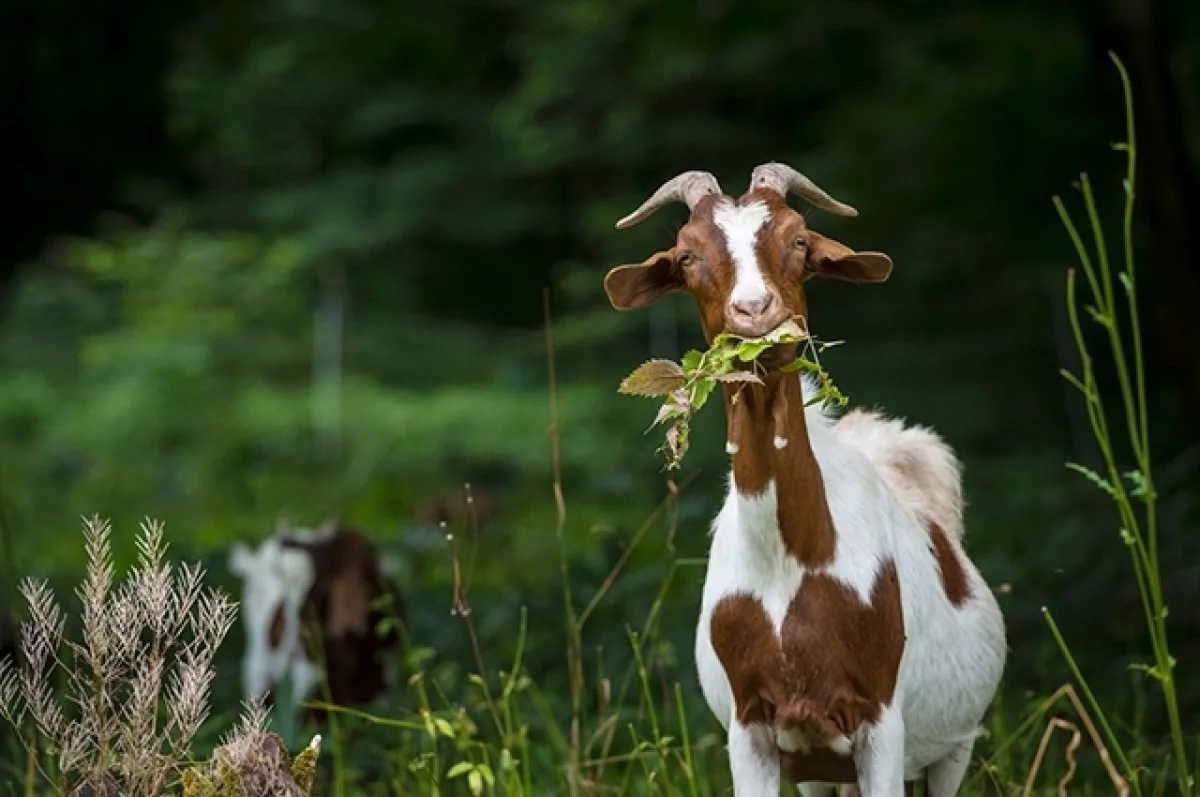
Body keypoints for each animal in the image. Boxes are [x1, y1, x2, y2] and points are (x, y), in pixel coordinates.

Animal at [604, 164, 1008, 792]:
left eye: (798, 240)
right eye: (687, 255)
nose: (754, 309)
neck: (791, 562)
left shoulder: (881, 721)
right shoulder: (751, 727)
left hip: (955, 743)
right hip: (821, 767)